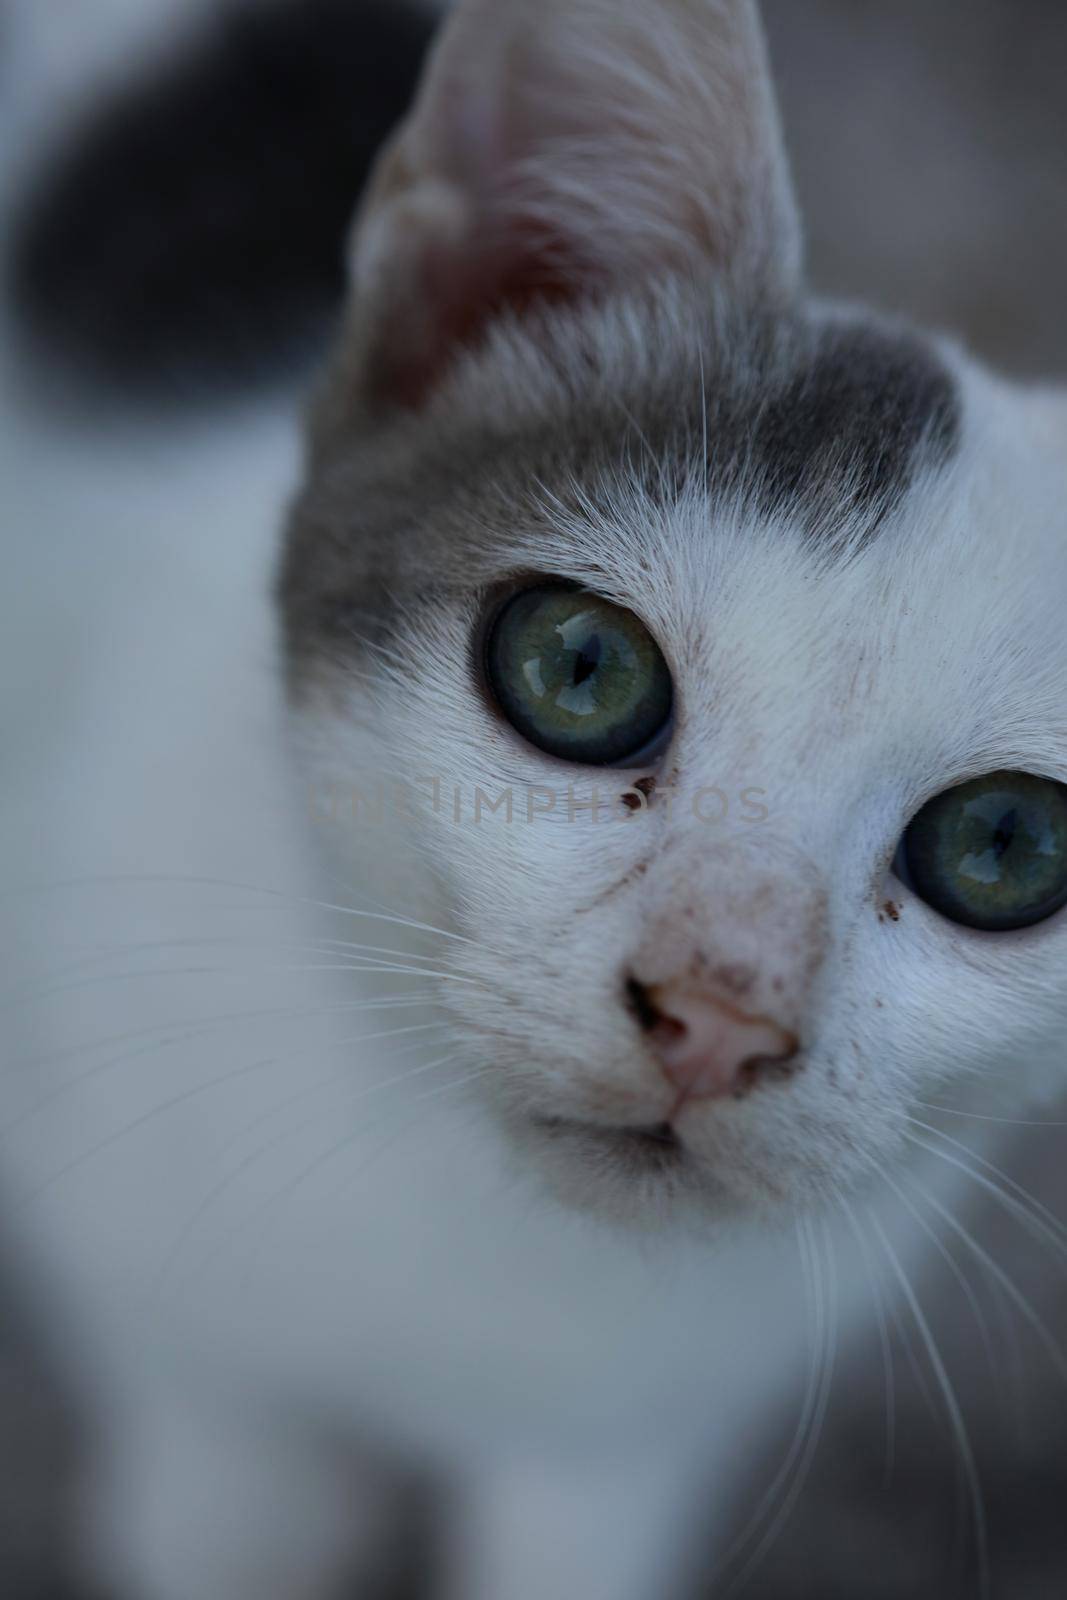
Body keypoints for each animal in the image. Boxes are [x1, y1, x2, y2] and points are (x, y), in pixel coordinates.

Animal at [6, 3, 1067, 1600]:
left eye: (1002, 844)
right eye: (580, 667)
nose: (715, 1014)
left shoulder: (633, 1444)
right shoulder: (190, 1367)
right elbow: (235, 1522)